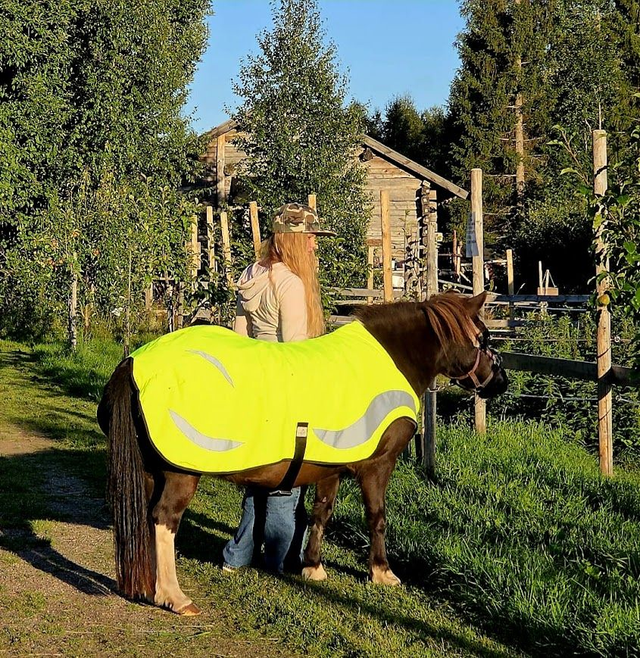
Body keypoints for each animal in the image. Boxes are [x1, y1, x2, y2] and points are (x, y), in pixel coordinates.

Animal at [97, 291, 508, 616]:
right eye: (483, 338)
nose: (500, 382)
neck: (389, 360)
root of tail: (133, 363)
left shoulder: (330, 467)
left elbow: (320, 514)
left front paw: (312, 567)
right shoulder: (378, 466)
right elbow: (376, 517)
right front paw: (382, 572)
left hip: (152, 470)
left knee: (146, 519)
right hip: (182, 471)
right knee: (164, 519)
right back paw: (174, 597)